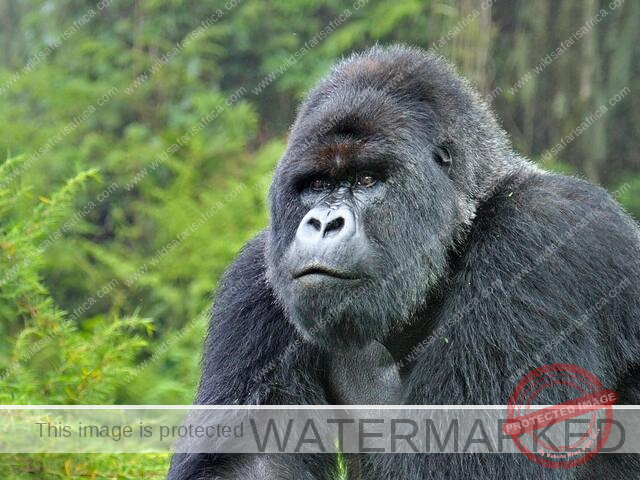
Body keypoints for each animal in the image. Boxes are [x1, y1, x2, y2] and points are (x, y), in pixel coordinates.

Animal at [166, 44, 640, 476]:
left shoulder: (542, 238)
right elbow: (252, 461)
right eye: (318, 184)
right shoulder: (256, 278)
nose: (323, 223)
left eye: (366, 180)